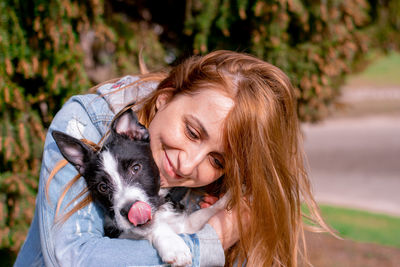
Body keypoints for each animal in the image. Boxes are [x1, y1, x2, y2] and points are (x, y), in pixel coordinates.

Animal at [52, 109, 228, 267]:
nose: (131, 209)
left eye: (136, 168)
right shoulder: (121, 235)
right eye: (102, 187)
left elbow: (205, 213)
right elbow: (149, 230)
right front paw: (173, 245)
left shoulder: (187, 225)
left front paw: (229, 199)